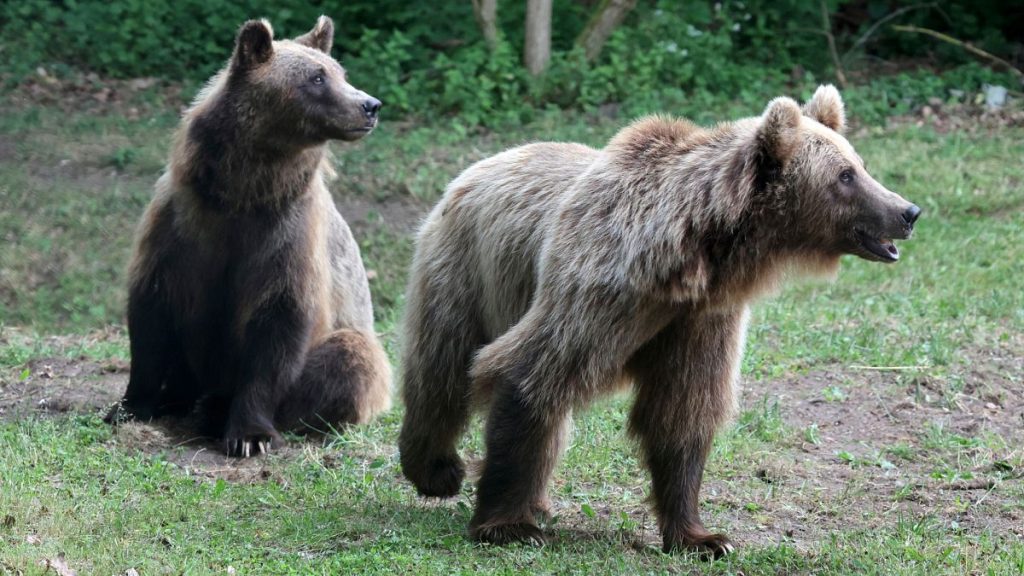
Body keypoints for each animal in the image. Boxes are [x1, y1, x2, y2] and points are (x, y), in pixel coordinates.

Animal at [106, 16, 392, 457]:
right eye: (318, 77)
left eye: (339, 72)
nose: (370, 105)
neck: (242, 192)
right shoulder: (180, 226)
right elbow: (151, 314)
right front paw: (130, 406)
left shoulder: (285, 237)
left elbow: (278, 325)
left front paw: (250, 435)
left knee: (351, 359)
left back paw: (213, 408)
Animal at [398, 85, 920, 556]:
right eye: (845, 175)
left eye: (860, 165)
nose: (908, 211)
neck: (692, 256)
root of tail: (482, 163)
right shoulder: (600, 289)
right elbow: (528, 371)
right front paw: (506, 525)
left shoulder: (700, 319)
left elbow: (683, 409)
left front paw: (702, 537)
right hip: (466, 268)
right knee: (443, 366)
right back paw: (437, 469)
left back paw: (537, 498)